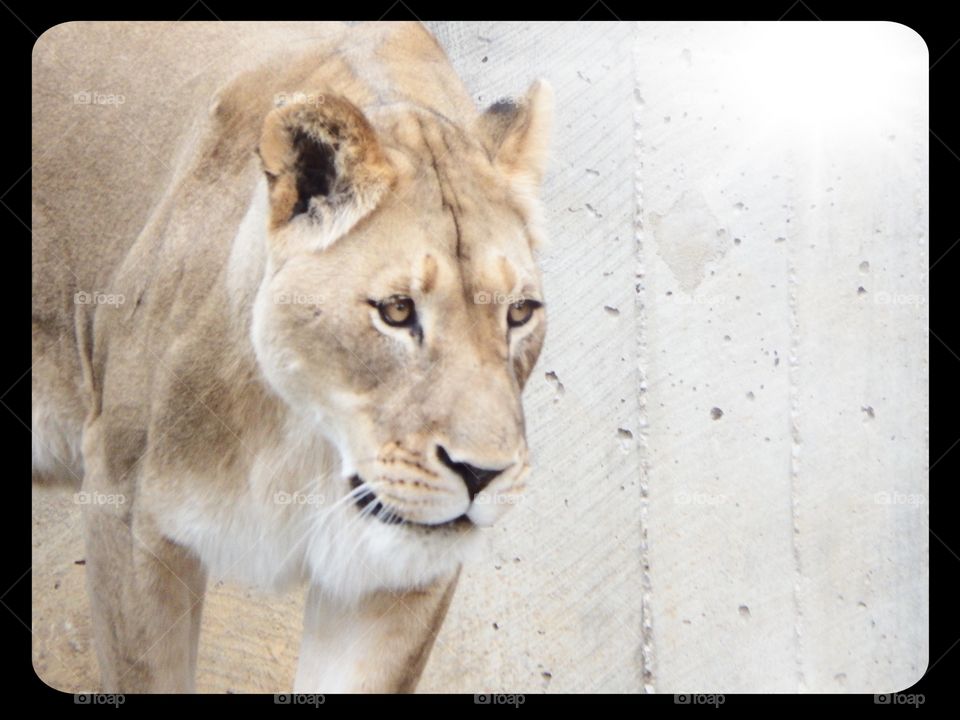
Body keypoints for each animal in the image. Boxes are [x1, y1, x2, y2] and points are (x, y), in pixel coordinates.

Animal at [32, 21, 552, 693]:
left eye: (519, 313)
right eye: (397, 311)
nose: (481, 475)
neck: (310, 442)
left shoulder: (399, 581)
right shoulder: (125, 510)